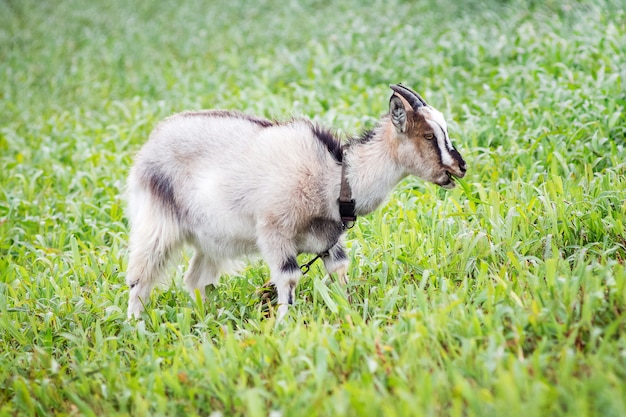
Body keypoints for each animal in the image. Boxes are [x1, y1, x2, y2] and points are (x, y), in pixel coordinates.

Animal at [124, 84, 466, 318]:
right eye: (428, 136)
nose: (461, 167)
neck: (333, 174)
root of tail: (152, 142)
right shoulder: (274, 231)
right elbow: (288, 277)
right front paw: (284, 326)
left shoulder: (329, 240)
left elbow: (339, 272)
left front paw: (350, 312)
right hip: (156, 224)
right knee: (140, 279)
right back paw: (135, 327)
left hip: (210, 239)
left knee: (195, 279)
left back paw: (206, 317)